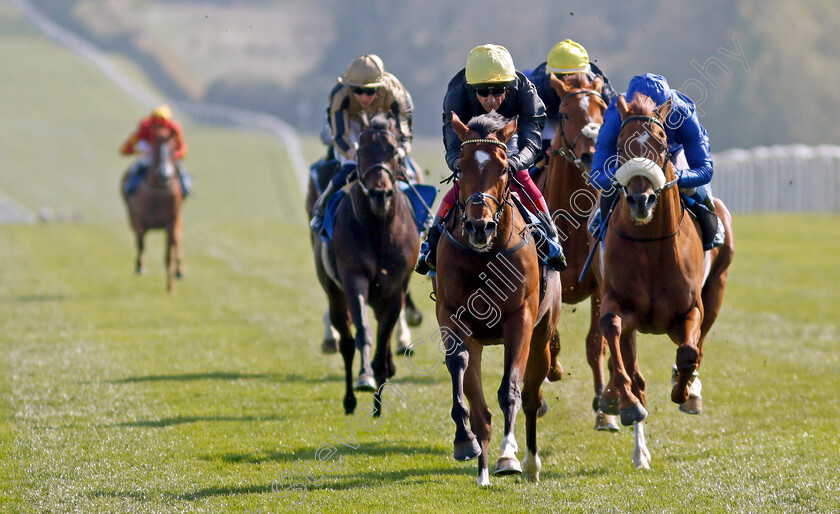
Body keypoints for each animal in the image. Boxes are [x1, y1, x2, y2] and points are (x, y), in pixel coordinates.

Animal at [120, 126, 185, 292]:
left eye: (172, 149)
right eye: (155, 149)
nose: (165, 175)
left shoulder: (171, 221)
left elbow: (169, 253)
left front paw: (171, 287)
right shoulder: (139, 220)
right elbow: (141, 243)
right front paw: (140, 266)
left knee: (178, 240)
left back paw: (179, 270)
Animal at [312, 111, 420, 412]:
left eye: (393, 151)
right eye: (361, 152)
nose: (379, 194)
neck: (377, 228)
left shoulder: (395, 289)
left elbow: (384, 339)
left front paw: (378, 402)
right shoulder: (354, 279)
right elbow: (363, 332)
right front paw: (365, 378)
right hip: (335, 293)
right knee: (347, 342)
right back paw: (349, 398)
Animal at [434, 110, 564, 482]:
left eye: (504, 167)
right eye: (460, 168)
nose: (480, 226)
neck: (484, 255)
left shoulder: (520, 319)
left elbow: (511, 388)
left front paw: (509, 456)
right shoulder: (451, 315)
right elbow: (458, 365)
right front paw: (464, 440)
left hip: (543, 335)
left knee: (532, 396)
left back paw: (530, 462)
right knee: (482, 412)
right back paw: (481, 468)